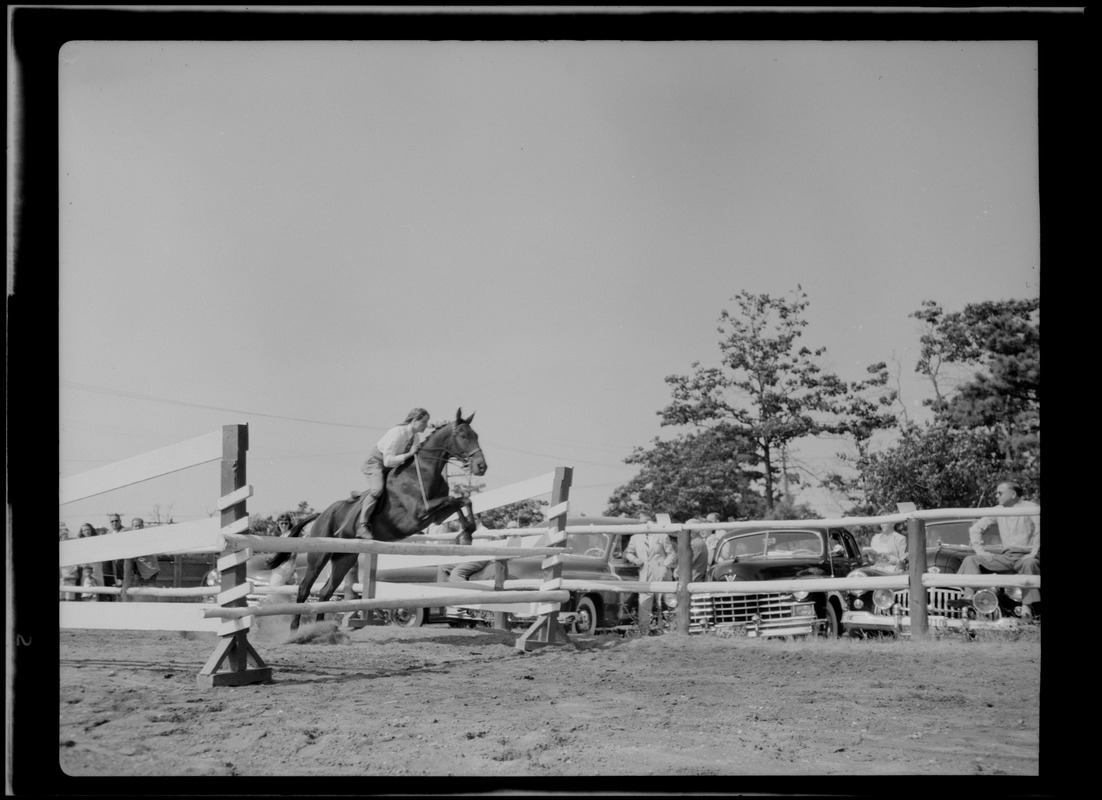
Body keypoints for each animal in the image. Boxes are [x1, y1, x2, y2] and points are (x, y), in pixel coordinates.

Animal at [266, 414, 487, 634]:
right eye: (463, 436)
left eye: (476, 435)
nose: (481, 467)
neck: (424, 470)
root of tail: (322, 514)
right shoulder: (419, 513)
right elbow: (454, 500)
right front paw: (466, 535)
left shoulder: (435, 515)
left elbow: (463, 500)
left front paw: (467, 533)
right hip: (319, 555)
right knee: (305, 588)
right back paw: (294, 631)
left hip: (344, 558)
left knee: (326, 592)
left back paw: (321, 629)